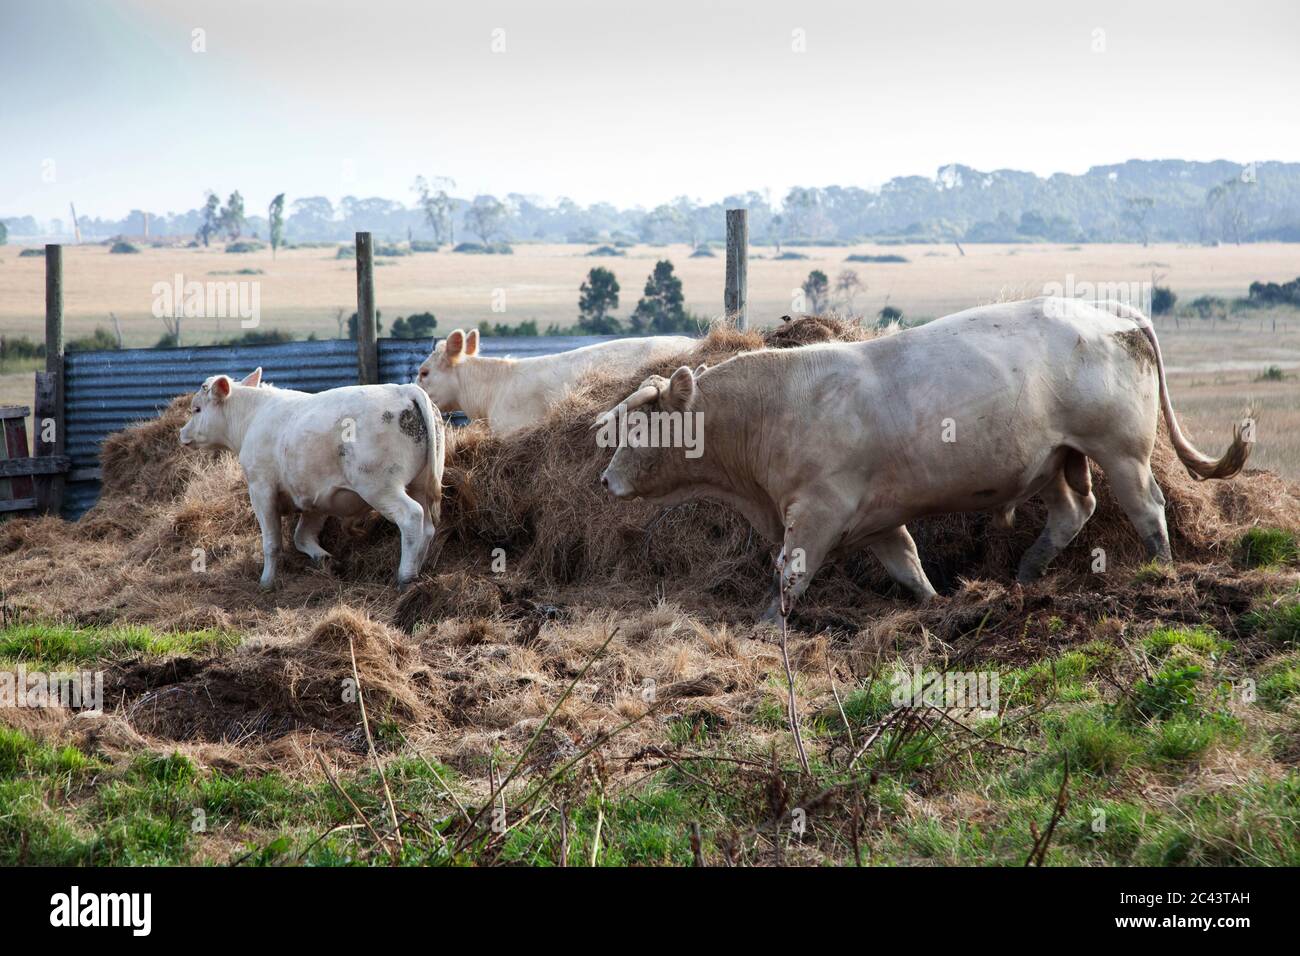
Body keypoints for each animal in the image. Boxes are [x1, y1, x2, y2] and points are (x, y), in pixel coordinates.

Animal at [178, 369, 444, 587]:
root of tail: (404, 390)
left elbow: (272, 542)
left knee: (411, 516)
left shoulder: (261, 488)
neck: (252, 417)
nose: (182, 433)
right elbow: (301, 536)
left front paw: (266, 582)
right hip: (419, 484)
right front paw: (326, 559)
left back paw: (405, 577)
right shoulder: (316, 499)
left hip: (379, 486)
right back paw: (418, 569)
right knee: (427, 527)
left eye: (197, 409)